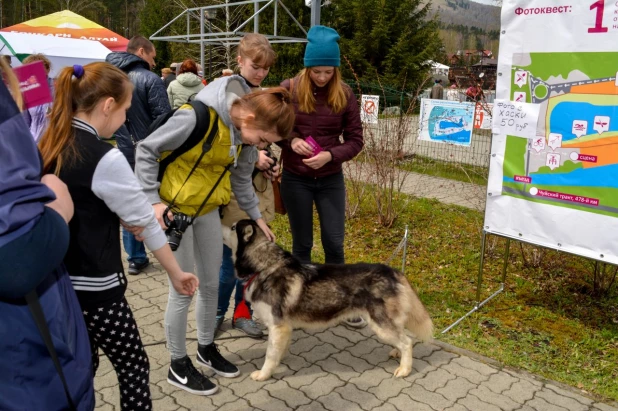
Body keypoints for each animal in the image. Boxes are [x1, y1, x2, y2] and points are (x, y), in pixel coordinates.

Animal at [223, 220, 434, 382]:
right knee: (402, 337)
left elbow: (270, 355)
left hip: (380, 324)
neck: (264, 266)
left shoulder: (277, 326)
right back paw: (397, 353)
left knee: (407, 342)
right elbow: (279, 351)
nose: (219, 220)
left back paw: (404, 369)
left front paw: (264, 374)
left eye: (233, 227)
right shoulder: (284, 327)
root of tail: (393, 271)